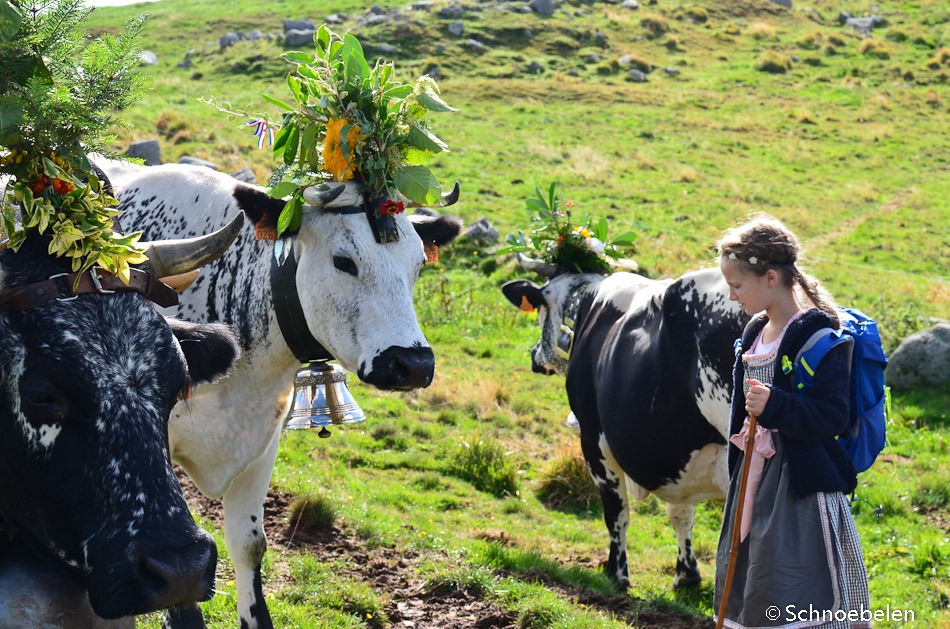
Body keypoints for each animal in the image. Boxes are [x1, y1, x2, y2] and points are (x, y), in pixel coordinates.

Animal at [506, 255, 752, 588]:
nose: (533, 354)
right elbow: (681, 513)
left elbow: (616, 512)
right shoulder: (678, 454)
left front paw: (616, 573)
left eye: (540, 312)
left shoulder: (593, 437)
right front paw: (686, 574)